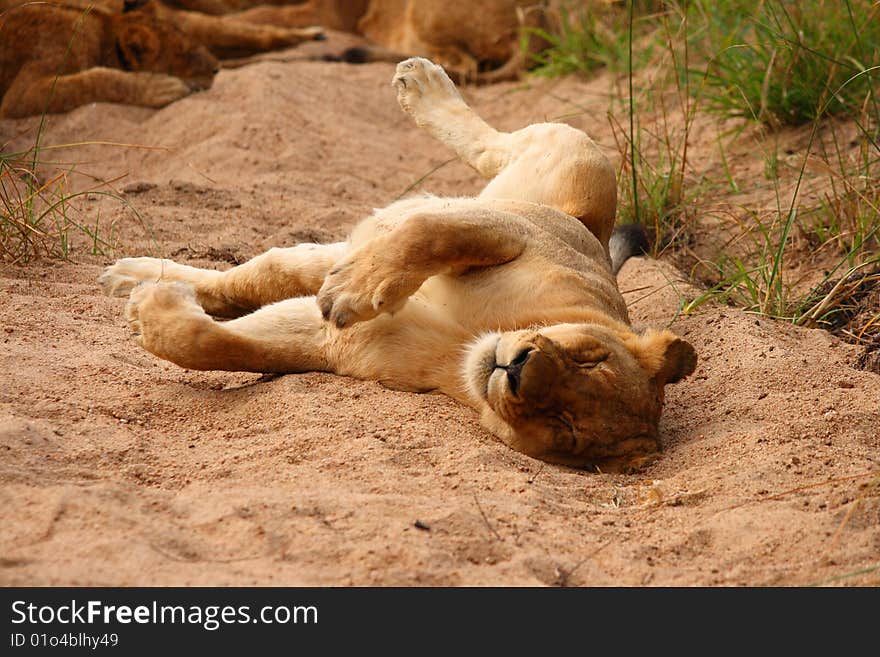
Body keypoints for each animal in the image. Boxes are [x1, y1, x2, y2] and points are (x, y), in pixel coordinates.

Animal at [98, 55, 696, 466]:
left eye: (566, 427)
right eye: (590, 358)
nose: (519, 369)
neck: (467, 347)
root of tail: (595, 231)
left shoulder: (337, 346)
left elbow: (215, 344)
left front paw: (151, 313)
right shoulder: (514, 232)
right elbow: (427, 233)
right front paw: (360, 290)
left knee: (265, 273)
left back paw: (135, 278)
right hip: (576, 159)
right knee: (488, 147)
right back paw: (420, 83)